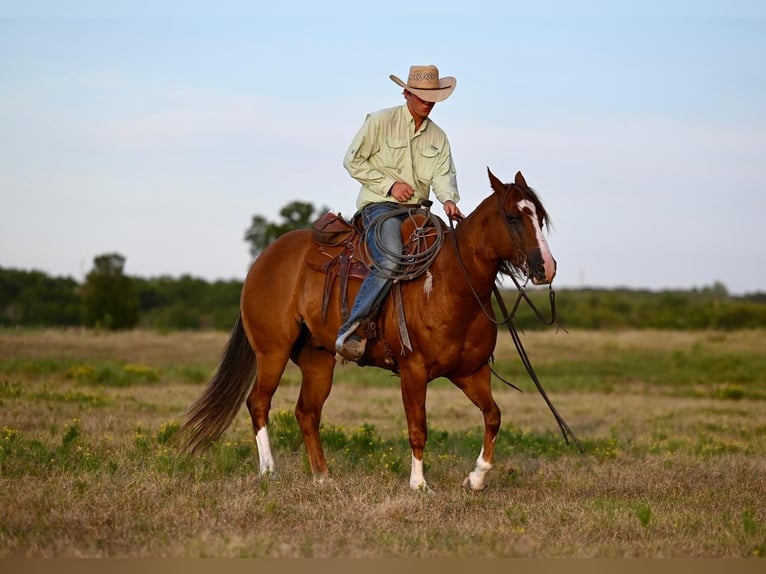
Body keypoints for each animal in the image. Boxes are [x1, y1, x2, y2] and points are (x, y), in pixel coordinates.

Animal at [177, 169, 556, 492]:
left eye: (539, 217)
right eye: (512, 217)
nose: (546, 268)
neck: (450, 284)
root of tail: (263, 260)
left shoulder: (471, 372)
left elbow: (493, 417)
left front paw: (476, 479)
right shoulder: (413, 371)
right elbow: (418, 428)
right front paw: (419, 485)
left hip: (318, 360)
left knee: (307, 412)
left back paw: (323, 478)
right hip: (272, 352)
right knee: (258, 402)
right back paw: (269, 471)